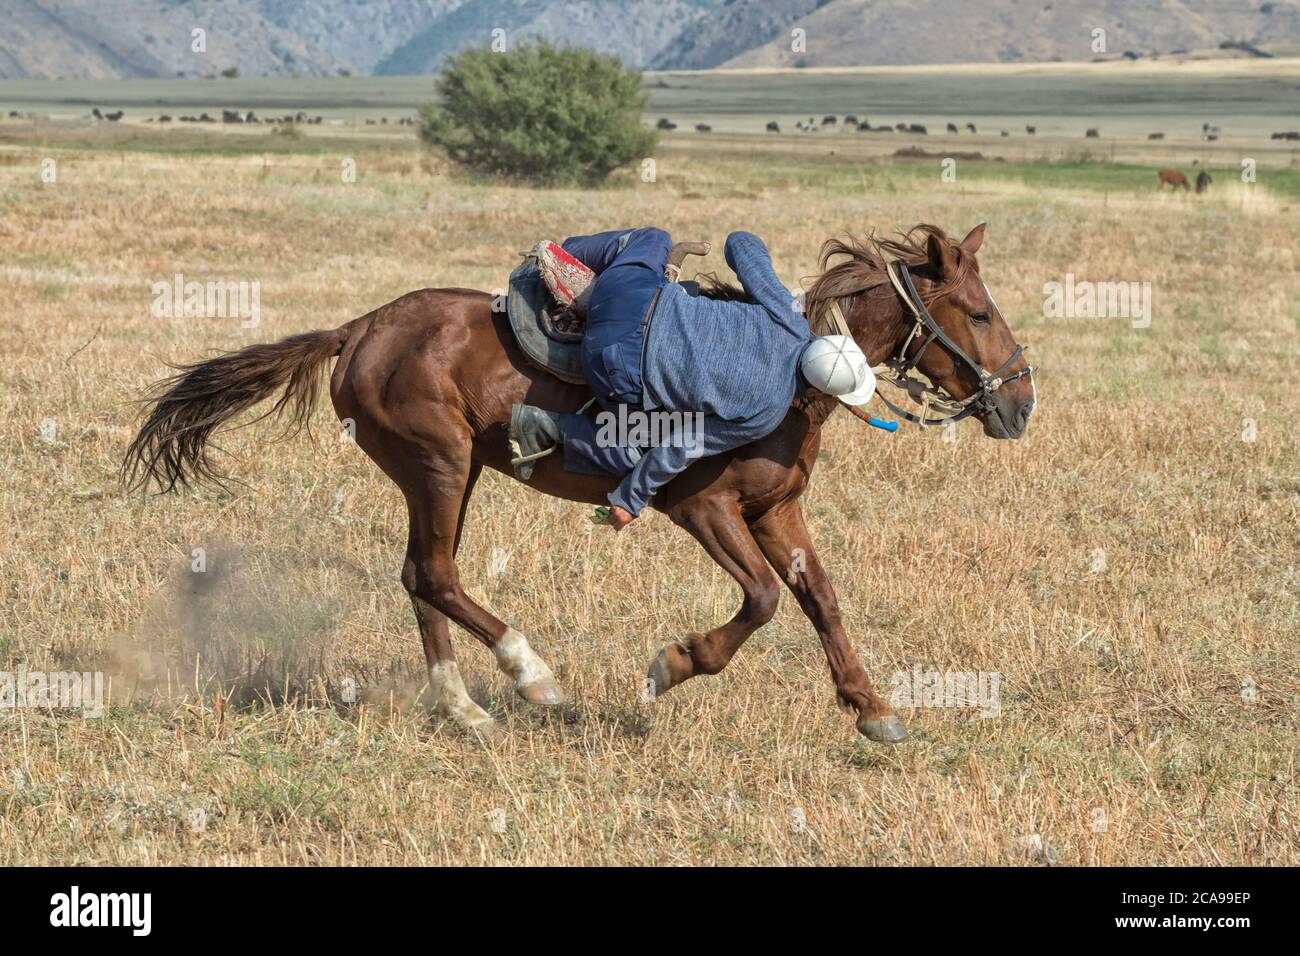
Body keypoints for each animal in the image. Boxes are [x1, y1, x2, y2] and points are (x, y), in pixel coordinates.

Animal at [124, 226, 1034, 749]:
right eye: (980, 312)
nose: (1021, 402)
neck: (794, 368)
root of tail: (359, 329)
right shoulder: (701, 507)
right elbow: (764, 601)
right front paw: (672, 665)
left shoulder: (776, 510)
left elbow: (821, 601)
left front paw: (871, 707)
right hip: (439, 464)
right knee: (437, 575)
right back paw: (532, 676)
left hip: (446, 474)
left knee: (420, 577)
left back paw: (464, 708)